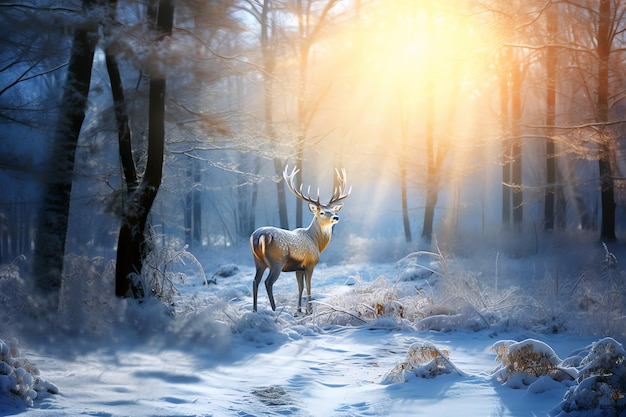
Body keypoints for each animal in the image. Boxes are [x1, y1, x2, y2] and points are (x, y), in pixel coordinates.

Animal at [250, 165, 352, 312]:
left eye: (333, 211)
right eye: (322, 212)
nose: (336, 217)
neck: (316, 242)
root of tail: (260, 236)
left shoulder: (299, 268)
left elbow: (300, 287)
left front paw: (298, 311)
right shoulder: (310, 264)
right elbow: (309, 287)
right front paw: (309, 310)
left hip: (258, 261)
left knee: (255, 281)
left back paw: (255, 310)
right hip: (277, 260)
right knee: (268, 282)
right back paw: (274, 309)